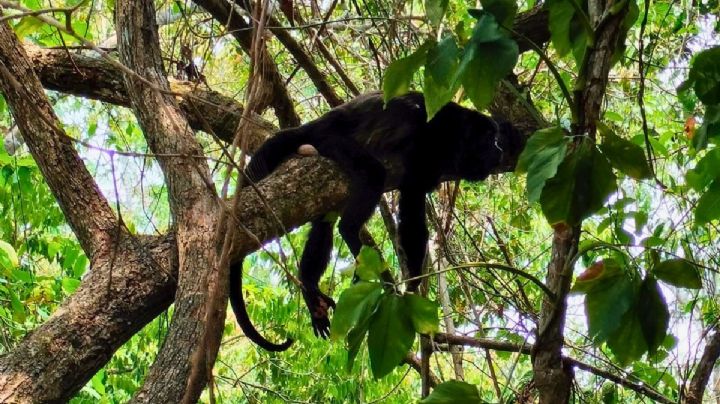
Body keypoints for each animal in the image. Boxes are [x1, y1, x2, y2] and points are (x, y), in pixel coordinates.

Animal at [230, 92, 525, 351]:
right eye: (488, 139)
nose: (498, 148)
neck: (454, 133)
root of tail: (315, 124)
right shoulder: (426, 148)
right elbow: (411, 213)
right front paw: (412, 286)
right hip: (332, 141)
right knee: (371, 175)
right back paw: (351, 235)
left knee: (324, 223)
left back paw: (310, 289)